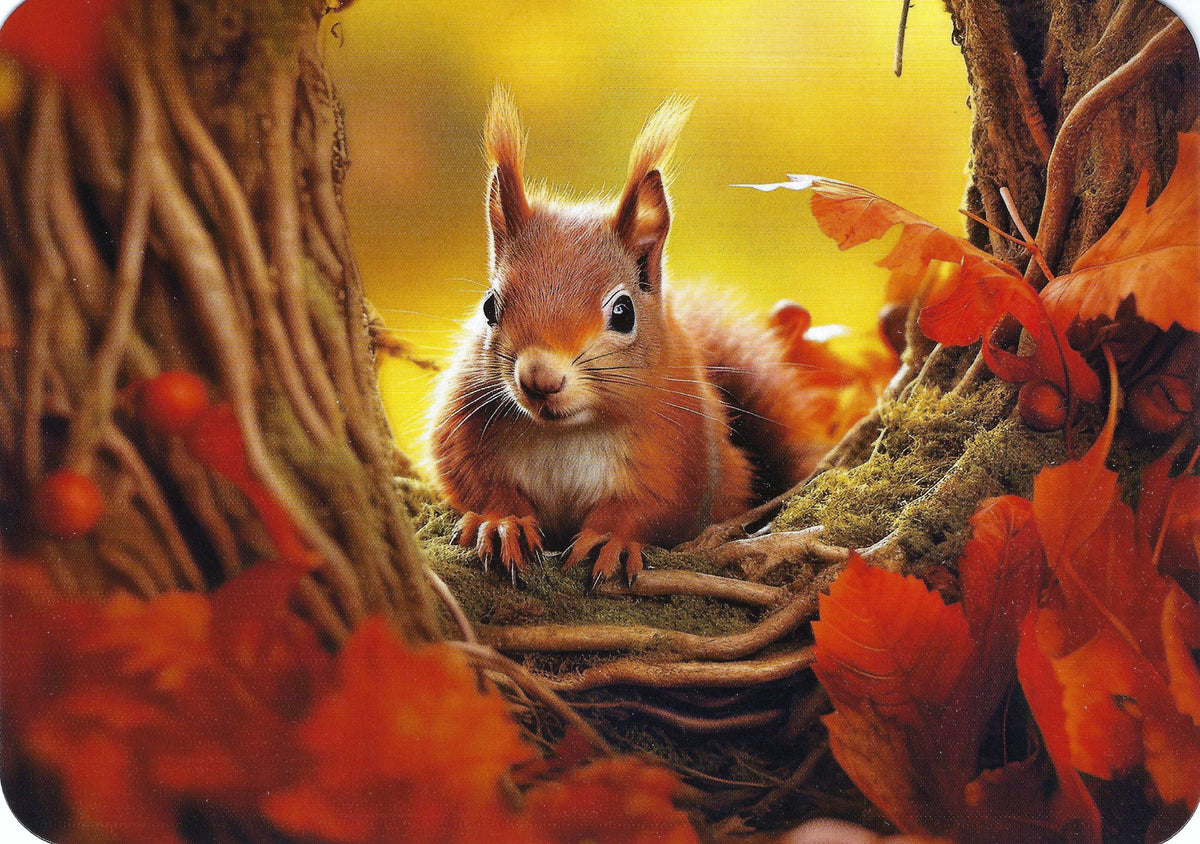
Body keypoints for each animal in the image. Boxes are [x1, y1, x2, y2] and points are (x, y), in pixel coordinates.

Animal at [429, 89, 825, 586]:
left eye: (623, 312)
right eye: (489, 307)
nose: (540, 380)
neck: (567, 434)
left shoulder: (681, 449)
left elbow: (653, 509)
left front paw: (609, 539)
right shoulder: (464, 421)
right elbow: (473, 481)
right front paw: (505, 523)